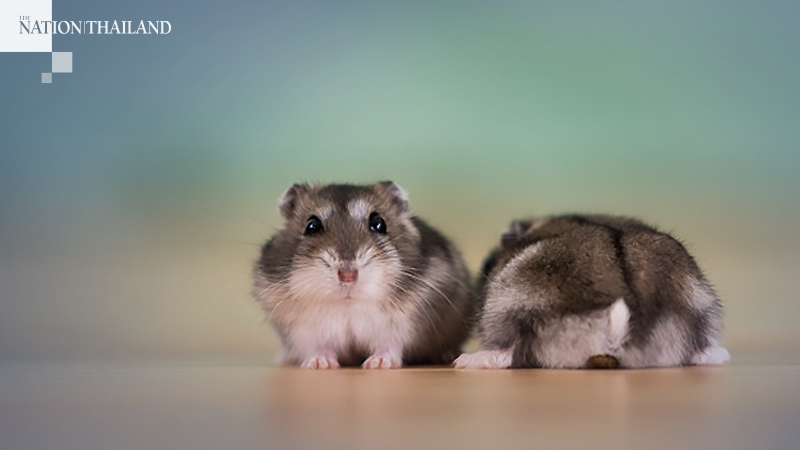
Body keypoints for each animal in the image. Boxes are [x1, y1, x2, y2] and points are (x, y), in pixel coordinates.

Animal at [254, 181, 474, 369]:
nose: (347, 275)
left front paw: (379, 364)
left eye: (379, 223)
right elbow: (317, 347)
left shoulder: (401, 324)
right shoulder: (304, 330)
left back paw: (446, 355)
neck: (349, 305)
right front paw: (319, 364)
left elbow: (388, 344)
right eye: (311, 226)